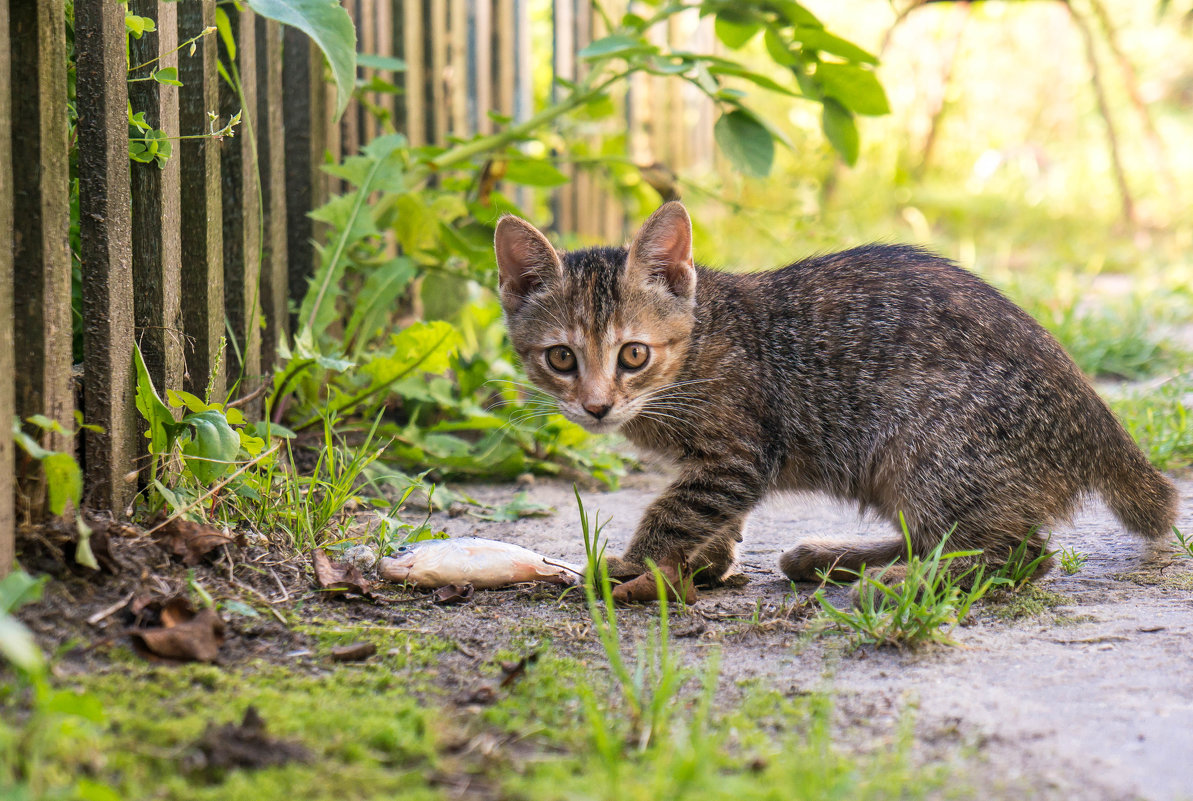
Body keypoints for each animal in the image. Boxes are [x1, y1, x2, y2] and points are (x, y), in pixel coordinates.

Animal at [491, 204, 1173, 584]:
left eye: (633, 354)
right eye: (561, 358)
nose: (596, 405)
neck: (694, 348)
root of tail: (1093, 415)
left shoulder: (737, 453)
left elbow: (677, 509)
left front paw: (636, 566)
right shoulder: (723, 465)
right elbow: (714, 513)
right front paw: (712, 560)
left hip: (929, 444)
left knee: (1024, 555)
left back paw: (900, 582)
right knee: (946, 537)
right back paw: (836, 560)